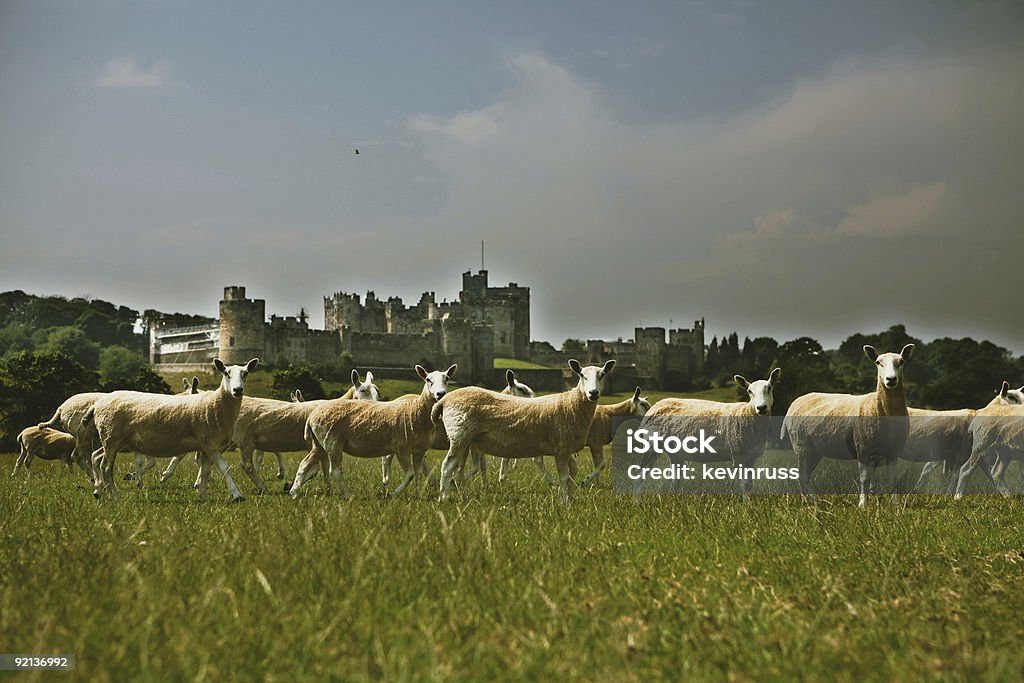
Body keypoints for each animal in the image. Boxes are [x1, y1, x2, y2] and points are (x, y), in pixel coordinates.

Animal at [86, 358, 260, 501]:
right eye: (226, 373)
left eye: (245, 373)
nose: (237, 390)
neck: (216, 403)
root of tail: (98, 404)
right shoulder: (210, 444)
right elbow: (224, 468)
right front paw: (237, 495)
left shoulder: (206, 447)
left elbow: (205, 471)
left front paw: (203, 496)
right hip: (111, 437)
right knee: (106, 467)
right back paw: (114, 496)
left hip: (115, 440)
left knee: (97, 458)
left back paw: (100, 491)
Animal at [286, 362, 450, 497]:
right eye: (428, 379)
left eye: (447, 379)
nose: (440, 394)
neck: (416, 410)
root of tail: (311, 417)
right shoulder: (401, 448)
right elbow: (410, 474)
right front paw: (395, 494)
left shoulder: (419, 450)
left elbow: (417, 473)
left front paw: (418, 495)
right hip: (332, 442)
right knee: (335, 471)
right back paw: (349, 495)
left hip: (320, 444)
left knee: (305, 463)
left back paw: (294, 492)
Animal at [430, 358, 610, 501]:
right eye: (582, 375)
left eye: (602, 375)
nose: (593, 393)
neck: (572, 405)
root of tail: (445, 400)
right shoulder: (561, 448)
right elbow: (565, 477)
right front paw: (564, 502)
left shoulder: (567, 448)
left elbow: (573, 473)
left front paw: (570, 497)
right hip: (459, 436)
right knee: (447, 466)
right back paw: (444, 498)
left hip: (466, 441)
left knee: (458, 470)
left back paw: (463, 496)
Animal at [643, 370, 778, 499]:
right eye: (749, 391)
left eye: (769, 387)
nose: (761, 407)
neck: (747, 413)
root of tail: (655, 405)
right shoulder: (738, 454)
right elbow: (744, 484)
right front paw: (745, 505)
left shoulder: (751, 456)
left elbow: (749, 484)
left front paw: (748, 503)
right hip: (651, 444)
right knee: (641, 475)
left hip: (675, 453)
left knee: (675, 481)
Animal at [778, 348, 917, 507]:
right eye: (878, 362)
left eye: (901, 362)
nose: (891, 379)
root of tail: (794, 403)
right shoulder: (862, 447)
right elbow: (864, 478)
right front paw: (862, 504)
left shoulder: (892, 451)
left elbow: (891, 480)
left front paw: (892, 505)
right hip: (801, 444)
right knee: (802, 475)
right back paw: (813, 501)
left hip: (814, 450)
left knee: (803, 475)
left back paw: (806, 500)